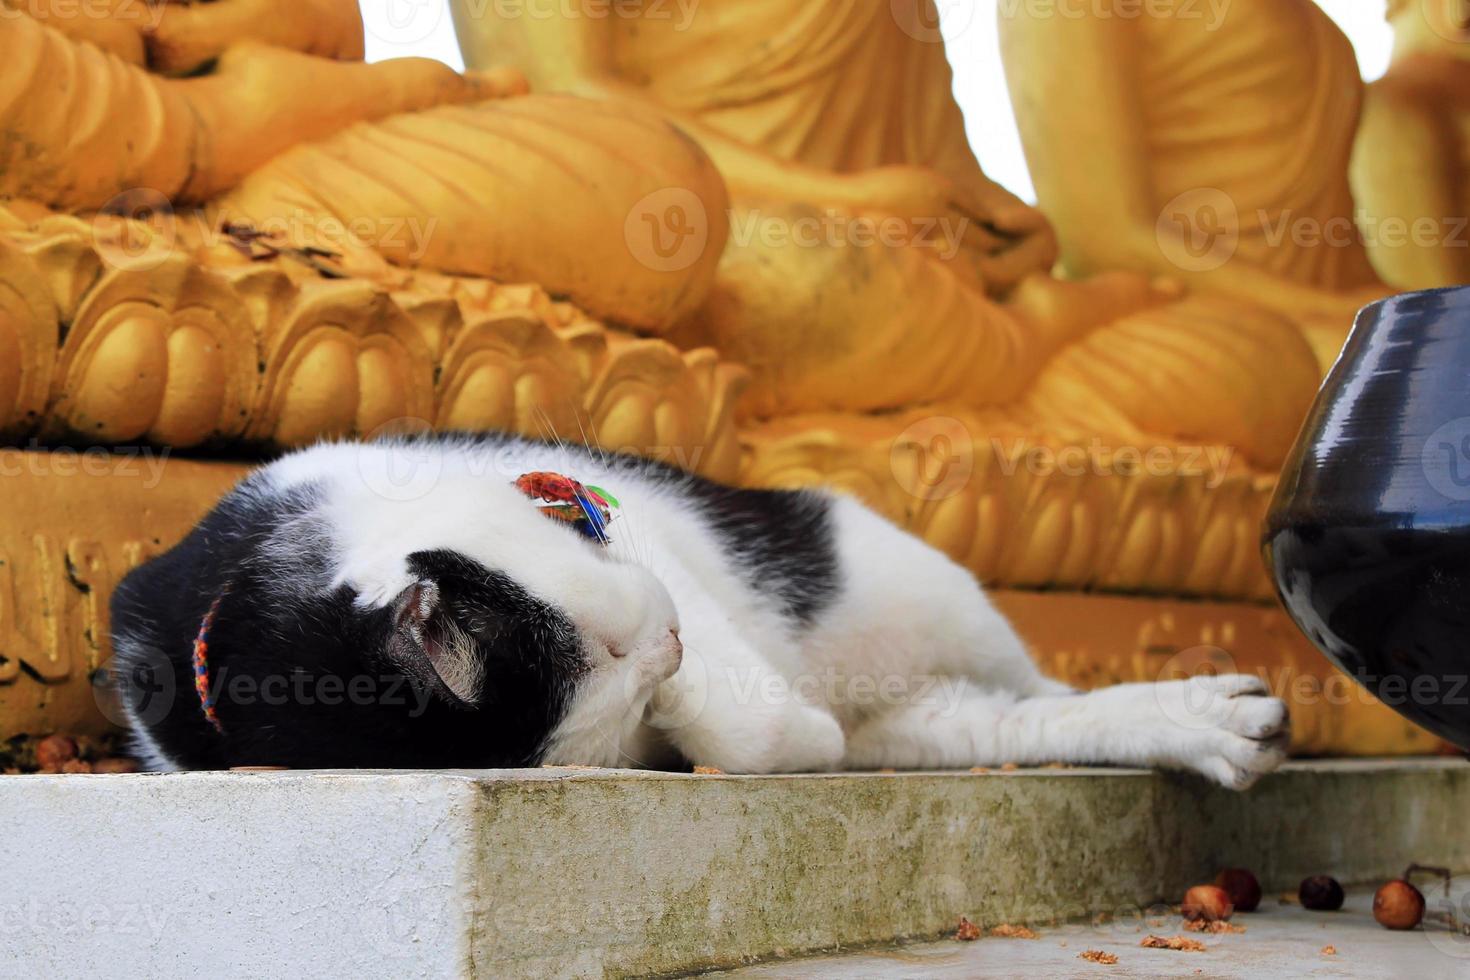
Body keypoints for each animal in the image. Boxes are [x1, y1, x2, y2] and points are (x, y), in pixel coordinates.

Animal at [111, 431, 1287, 787]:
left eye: (575, 527)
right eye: (610, 658)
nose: (669, 634)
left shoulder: (632, 528)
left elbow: (738, 701)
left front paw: (780, 723)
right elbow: (750, 727)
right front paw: (793, 734)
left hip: (920, 585)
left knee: (1035, 685)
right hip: (933, 714)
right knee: (1023, 720)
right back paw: (1211, 723)